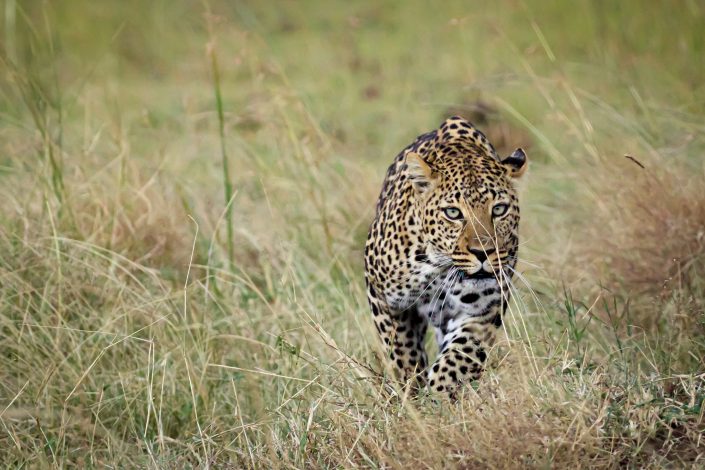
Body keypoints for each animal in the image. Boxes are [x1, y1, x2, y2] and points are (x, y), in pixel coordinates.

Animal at [366, 115, 524, 398]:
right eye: (453, 212)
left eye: (499, 209)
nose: (483, 252)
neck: (437, 265)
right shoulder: (383, 295)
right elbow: (401, 349)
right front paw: (411, 390)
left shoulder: (483, 310)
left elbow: (459, 358)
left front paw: (439, 397)